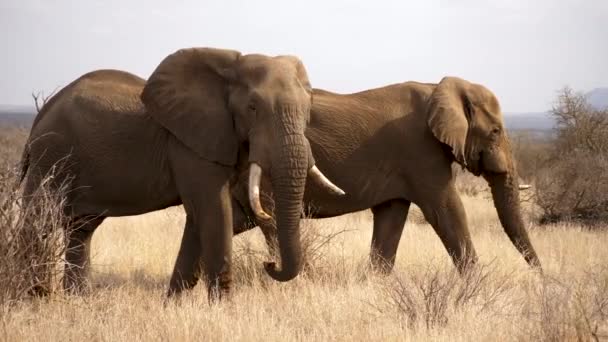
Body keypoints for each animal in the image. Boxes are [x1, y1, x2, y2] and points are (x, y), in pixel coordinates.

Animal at [20, 46, 342, 300]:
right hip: (50, 156)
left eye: (308, 109)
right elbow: (213, 210)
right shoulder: (189, 143)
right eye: (253, 107)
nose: (269, 265)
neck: (230, 68)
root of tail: (39, 117)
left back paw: (79, 300)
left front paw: (173, 305)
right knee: (38, 222)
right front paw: (224, 312)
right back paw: (34, 298)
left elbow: (199, 218)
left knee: (81, 229)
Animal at [228, 77, 540, 272]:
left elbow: (391, 219)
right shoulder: (420, 153)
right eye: (496, 131)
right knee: (271, 221)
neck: (438, 88)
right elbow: (447, 210)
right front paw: (476, 286)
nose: (540, 274)